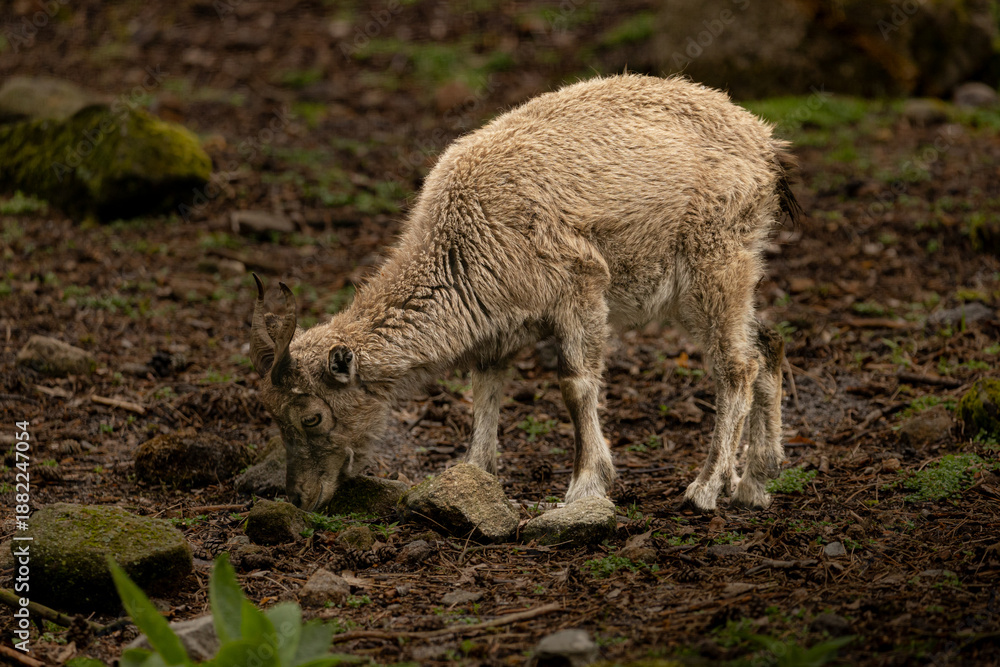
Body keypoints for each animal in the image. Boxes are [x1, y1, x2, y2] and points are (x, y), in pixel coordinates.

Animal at [249, 74, 798, 513]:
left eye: (312, 417)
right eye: (272, 416)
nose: (301, 497)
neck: (463, 242)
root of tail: (768, 148)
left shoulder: (580, 289)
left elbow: (575, 384)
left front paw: (585, 486)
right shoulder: (499, 327)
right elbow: (486, 388)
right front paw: (473, 474)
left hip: (714, 262)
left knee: (736, 366)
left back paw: (707, 488)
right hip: (723, 274)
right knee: (767, 342)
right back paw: (756, 482)